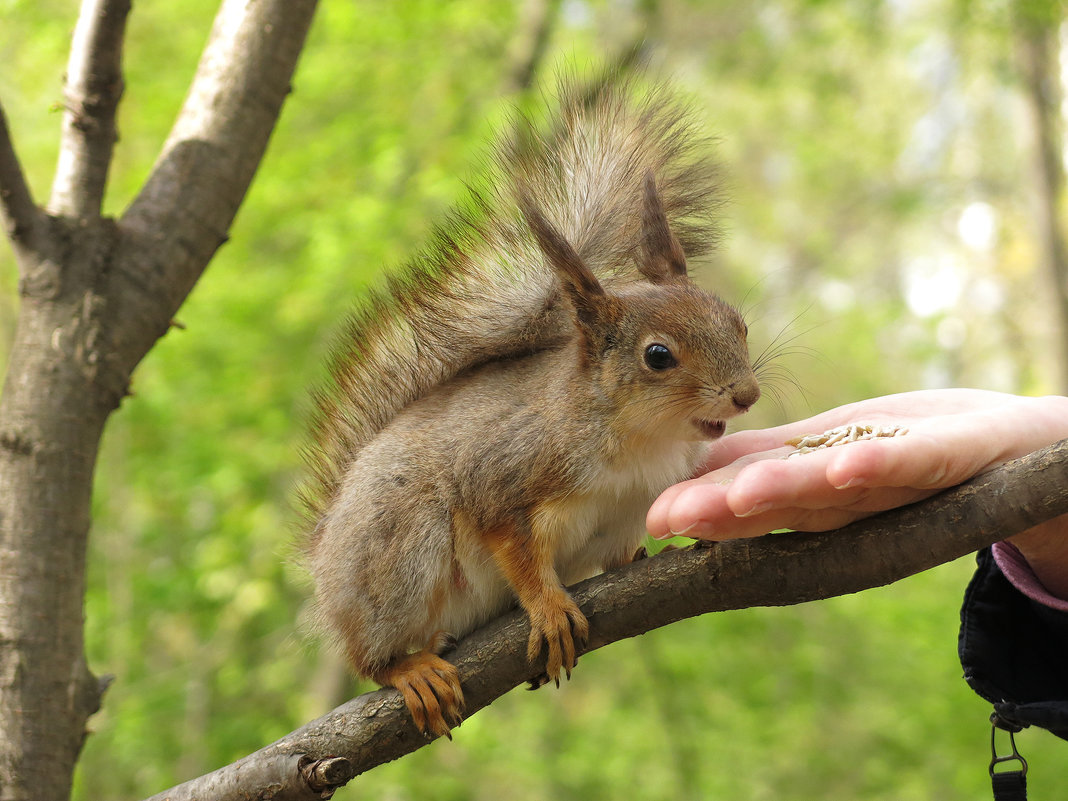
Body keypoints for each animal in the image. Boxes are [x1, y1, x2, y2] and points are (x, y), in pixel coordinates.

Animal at [301, 76, 760, 739]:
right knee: (370, 653)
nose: (746, 394)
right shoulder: (505, 474)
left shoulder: (628, 508)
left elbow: (618, 553)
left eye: (737, 322)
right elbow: (513, 547)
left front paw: (651, 556)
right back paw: (407, 669)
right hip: (398, 545)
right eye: (658, 356)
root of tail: (323, 563)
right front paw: (547, 608)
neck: (638, 441)